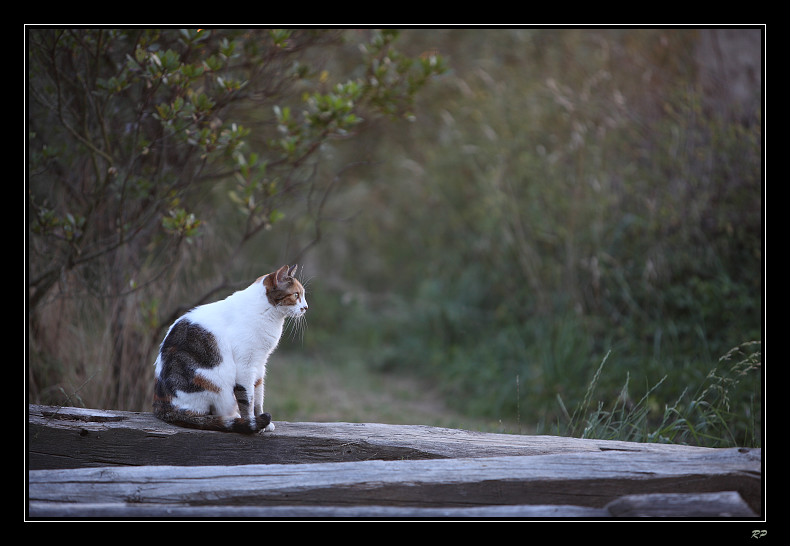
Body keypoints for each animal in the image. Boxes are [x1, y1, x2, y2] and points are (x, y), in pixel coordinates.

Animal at [153, 264, 308, 434]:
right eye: (296, 295)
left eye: (302, 295)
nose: (306, 307)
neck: (267, 313)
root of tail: (162, 405)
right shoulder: (245, 366)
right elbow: (247, 400)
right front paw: (251, 421)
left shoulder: (260, 365)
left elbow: (258, 397)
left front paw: (262, 422)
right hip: (214, 382)